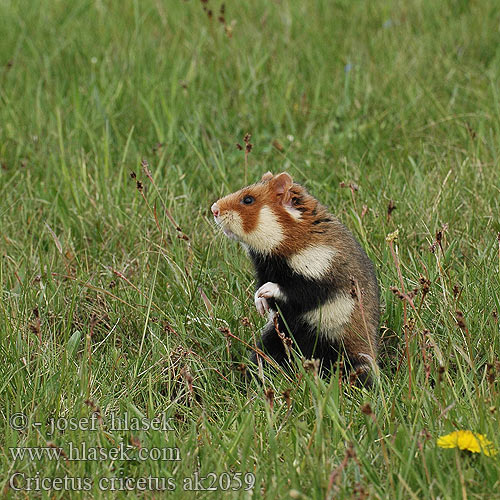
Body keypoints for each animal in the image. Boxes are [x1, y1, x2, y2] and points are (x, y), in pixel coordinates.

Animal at [210, 170, 378, 384]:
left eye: (248, 199)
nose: (213, 209)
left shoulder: (321, 274)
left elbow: (290, 289)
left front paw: (266, 292)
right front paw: (260, 304)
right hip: (272, 339)